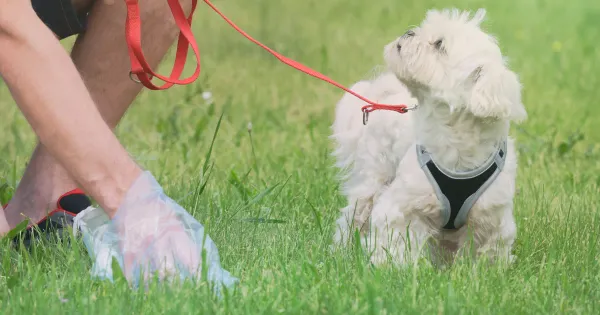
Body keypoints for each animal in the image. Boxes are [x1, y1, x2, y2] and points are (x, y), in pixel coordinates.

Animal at [330, 8, 528, 268]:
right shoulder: (403, 206)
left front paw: (481, 274)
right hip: (373, 179)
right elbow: (397, 242)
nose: (409, 32)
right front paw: (395, 269)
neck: (456, 145)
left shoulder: (488, 219)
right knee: (354, 216)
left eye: (439, 44)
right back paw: (341, 252)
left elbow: (483, 254)